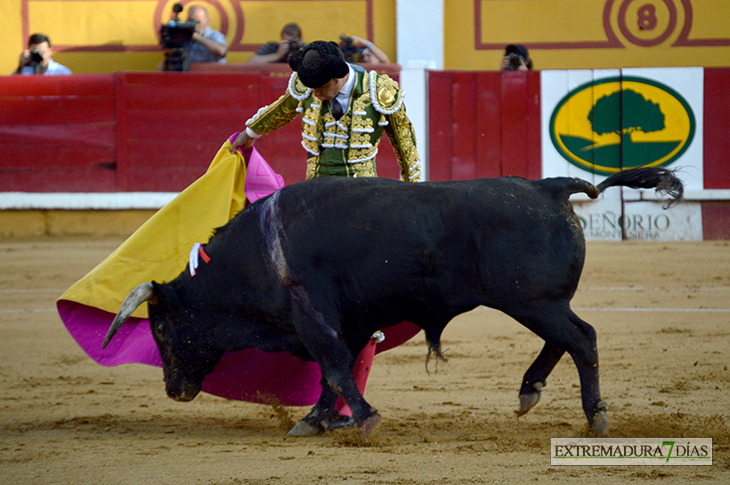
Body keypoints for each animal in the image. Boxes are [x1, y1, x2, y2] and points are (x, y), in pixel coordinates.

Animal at [104, 166, 684, 434]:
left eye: (161, 330)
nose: (174, 390)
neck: (256, 254)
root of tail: (548, 187)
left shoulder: (312, 319)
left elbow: (336, 370)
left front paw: (362, 420)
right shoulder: (348, 321)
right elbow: (333, 374)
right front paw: (316, 420)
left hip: (534, 301)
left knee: (582, 339)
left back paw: (595, 416)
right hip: (537, 303)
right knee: (563, 342)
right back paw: (529, 391)